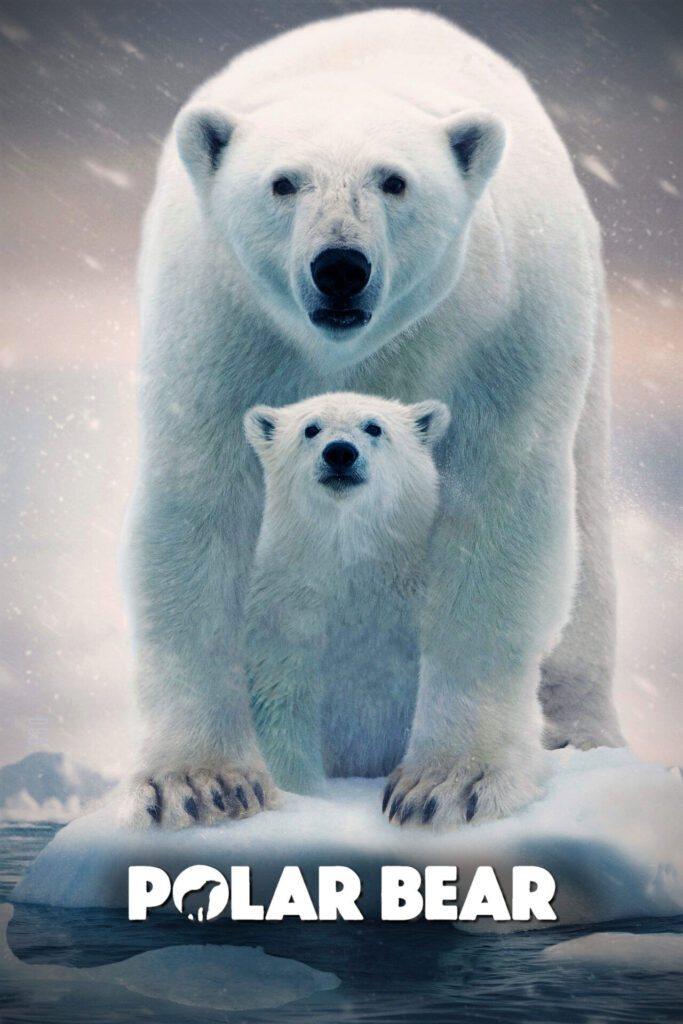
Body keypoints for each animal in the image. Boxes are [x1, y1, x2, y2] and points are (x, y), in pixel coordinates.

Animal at [243, 392, 450, 799]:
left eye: (374, 427)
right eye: (311, 428)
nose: (340, 452)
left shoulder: (416, 601)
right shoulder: (285, 611)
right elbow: (285, 707)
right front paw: (304, 793)